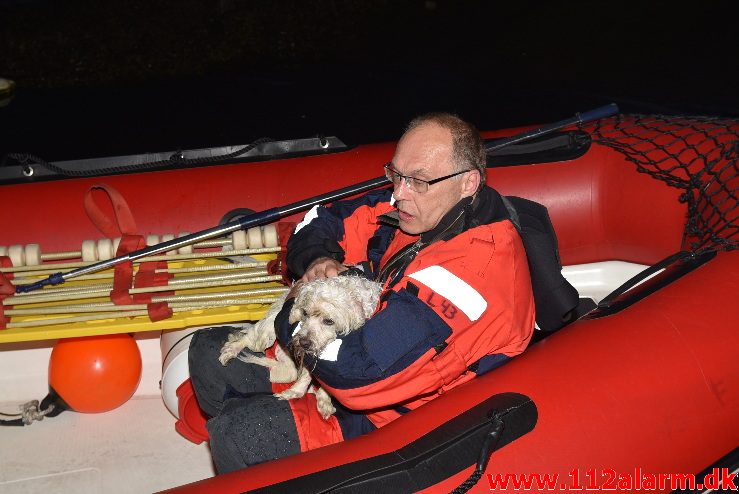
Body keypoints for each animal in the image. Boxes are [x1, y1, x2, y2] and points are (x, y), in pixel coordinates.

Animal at [218, 276, 382, 418]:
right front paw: (294, 392)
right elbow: (307, 376)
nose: (303, 342)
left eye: (329, 321)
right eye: (305, 313)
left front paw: (324, 401)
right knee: (248, 338)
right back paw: (231, 349)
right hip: (265, 337)